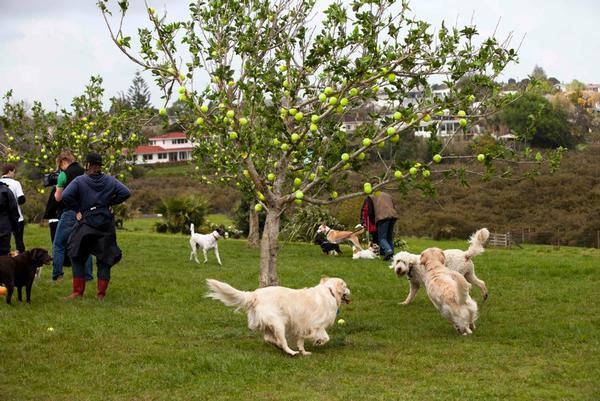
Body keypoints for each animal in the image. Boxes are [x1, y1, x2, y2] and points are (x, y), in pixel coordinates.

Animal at [205, 276, 352, 354]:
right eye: (345, 286)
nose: (350, 291)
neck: (330, 292)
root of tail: (254, 294)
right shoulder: (316, 325)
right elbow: (325, 337)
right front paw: (318, 342)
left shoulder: (302, 325)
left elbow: (301, 340)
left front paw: (305, 352)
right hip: (279, 323)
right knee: (282, 341)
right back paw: (291, 352)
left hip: (270, 324)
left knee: (268, 338)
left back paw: (279, 346)